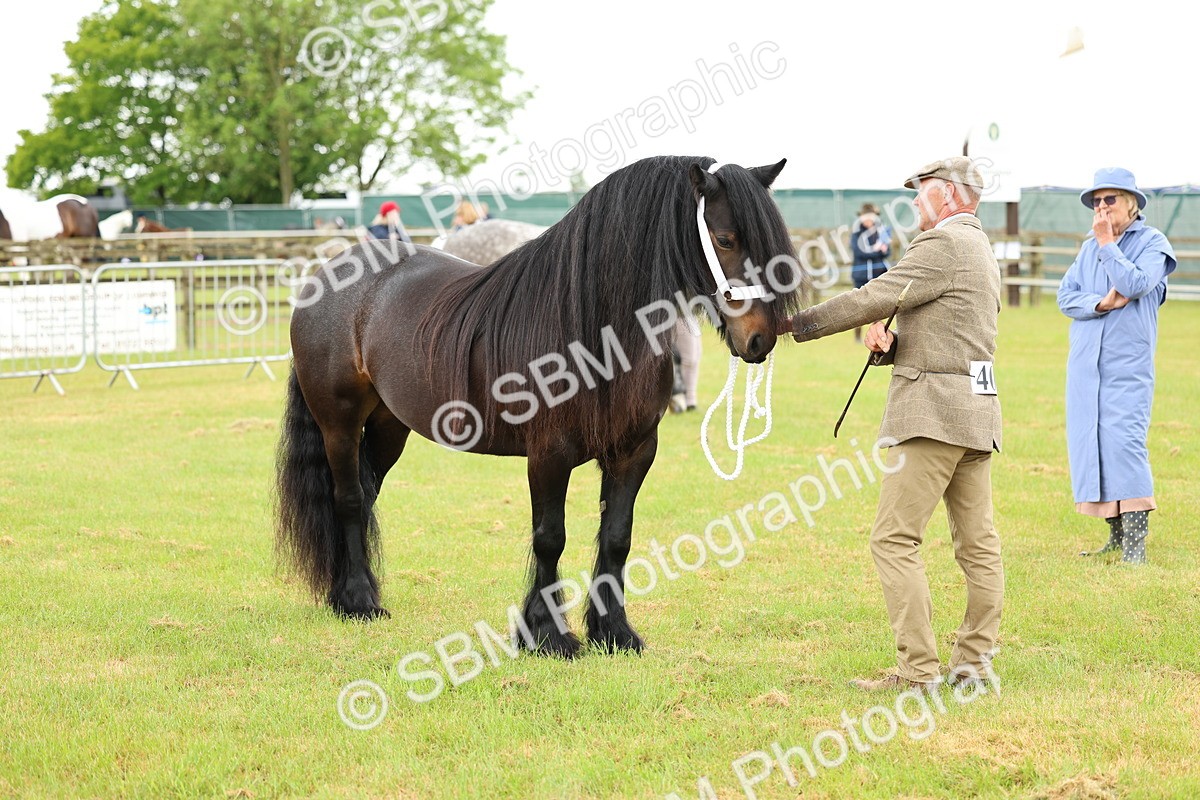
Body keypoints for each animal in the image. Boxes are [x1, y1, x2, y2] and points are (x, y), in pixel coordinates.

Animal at [275, 155, 801, 657]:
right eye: (725, 238)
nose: (760, 339)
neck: (595, 328)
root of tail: (331, 272)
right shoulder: (549, 453)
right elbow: (550, 537)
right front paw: (547, 635)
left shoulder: (634, 451)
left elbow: (617, 536)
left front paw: (614, 632)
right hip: (339, 422)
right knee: (348, 499)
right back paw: (359, 601)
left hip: (388, 427)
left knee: (366, 495)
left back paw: (347, 594)